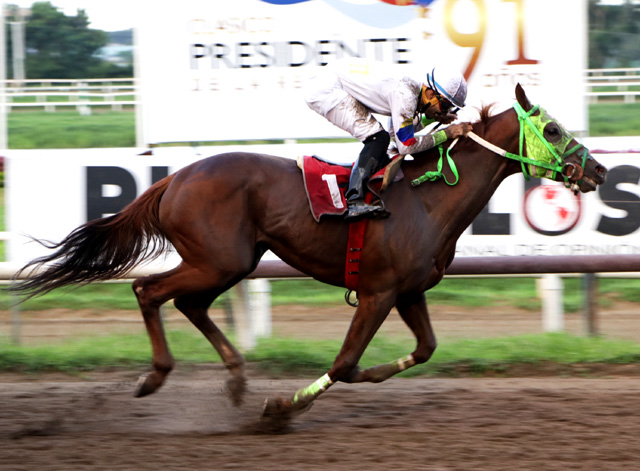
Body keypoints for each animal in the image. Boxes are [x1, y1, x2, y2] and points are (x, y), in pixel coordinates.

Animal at [12, 84, 608, 424]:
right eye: (553, 128)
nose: (600, 171)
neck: (427, 198)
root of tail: (174, 178)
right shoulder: (378, 292)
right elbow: (344, 364)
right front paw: (281, 408)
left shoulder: (408, 291)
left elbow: (422, 351)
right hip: (218, 259)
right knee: (148, 289)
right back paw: (158, 376)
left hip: (232, 261)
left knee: (188, 304)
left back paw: (235, 379)